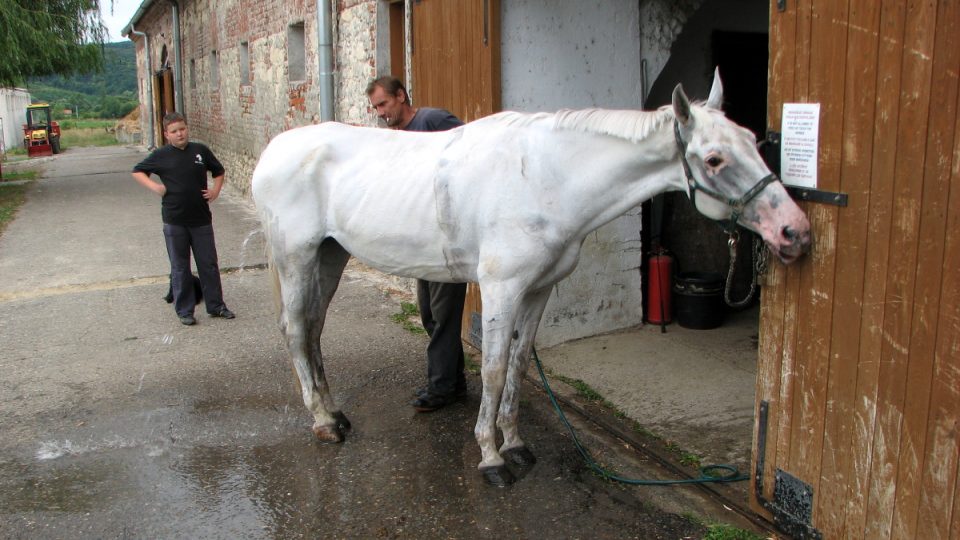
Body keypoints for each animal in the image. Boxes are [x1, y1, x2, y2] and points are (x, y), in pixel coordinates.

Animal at [251, 69, 808, 488]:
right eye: (714, 159)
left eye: (754, 142)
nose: (795, 231)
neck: (545, 177)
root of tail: (273, 151)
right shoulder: (501, 289)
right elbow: (495, 369)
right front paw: (491, 458)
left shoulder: (540, 290)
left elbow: (519, 364)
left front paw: (516, 444)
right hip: (297, 257)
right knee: (296, 331)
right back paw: (324, 424)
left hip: (330, 257)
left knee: (314, 329)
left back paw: (336, 412)